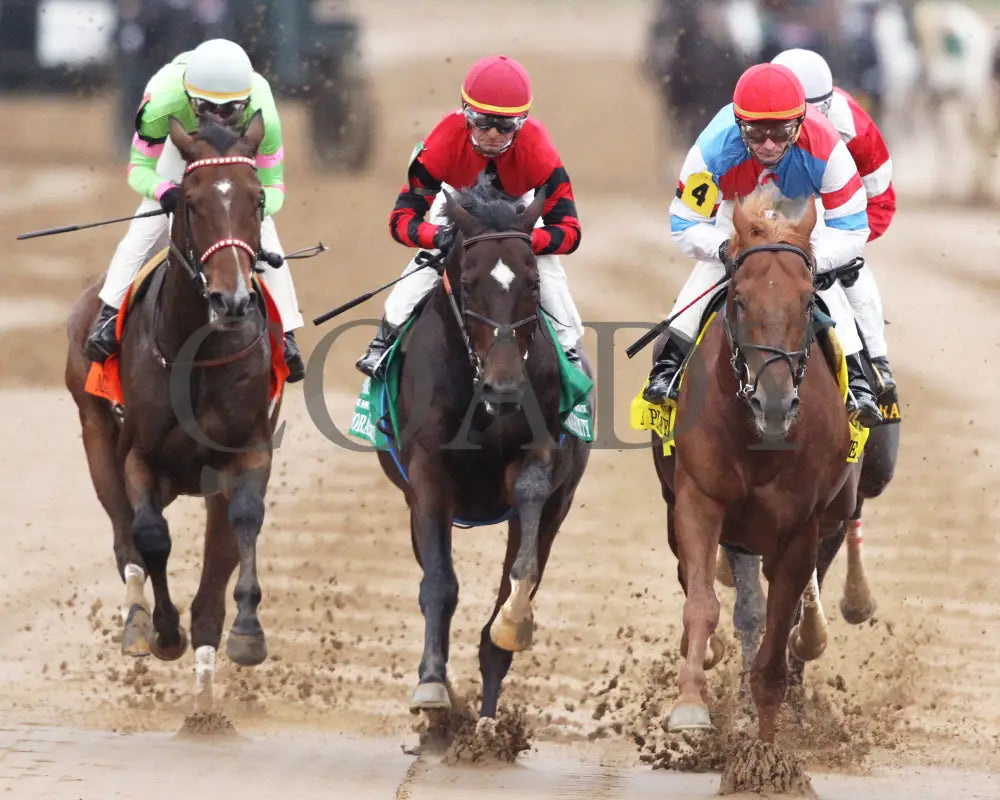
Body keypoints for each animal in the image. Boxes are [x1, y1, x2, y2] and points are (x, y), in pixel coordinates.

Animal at [65, 112, 286, 712]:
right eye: (190, 201)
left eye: (258, 199)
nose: (232, 299)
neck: (199, 352)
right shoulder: (140, 457)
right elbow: (150, 537)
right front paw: (162, 630)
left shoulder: (247, 452)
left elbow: (244, 521)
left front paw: (247, 634)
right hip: (96, 434)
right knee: (125, 537)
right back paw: (139, 621)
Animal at [378, 178, 588, 728]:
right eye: (469, 283)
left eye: (533, 284)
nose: (504, 387)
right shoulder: (427, 476)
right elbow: (438, 583)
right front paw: (432, 685)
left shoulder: (543, 454)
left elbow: (522, 565)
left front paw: (514, 621)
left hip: (560, 505)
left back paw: (488, 723)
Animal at [652, 194, 864, 744]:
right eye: (741, 300)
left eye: (808, 301)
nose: (774, 403)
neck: (757, 440)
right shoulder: (699, 500)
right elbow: (704, 602)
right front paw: (691, 704)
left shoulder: (801, 527)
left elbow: (776, 635)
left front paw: (768, 746)